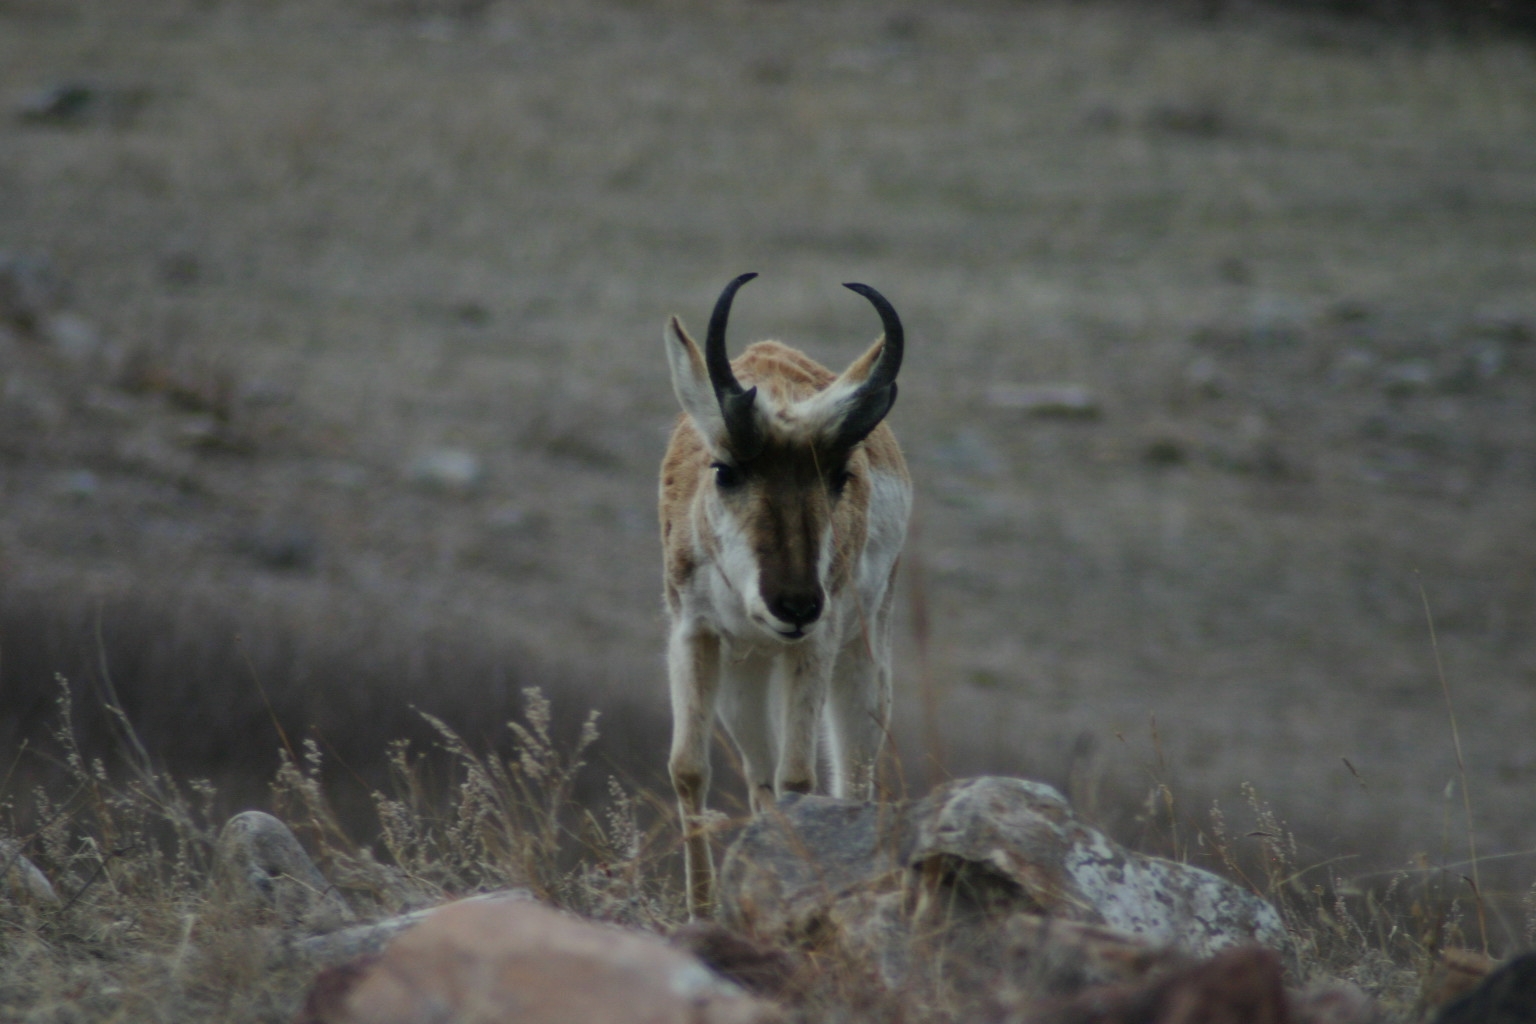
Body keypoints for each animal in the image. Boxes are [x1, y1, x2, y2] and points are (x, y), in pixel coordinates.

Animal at [659, 273, 911, 917]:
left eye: (839, 475)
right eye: (724, 470)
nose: (795, 606)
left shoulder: (812, 648)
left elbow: (801, 778)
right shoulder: (695, 635)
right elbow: (689, 768)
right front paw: (701, 912)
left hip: (860, 660)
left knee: (853, 769)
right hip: (744, 677)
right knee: (760, 777)